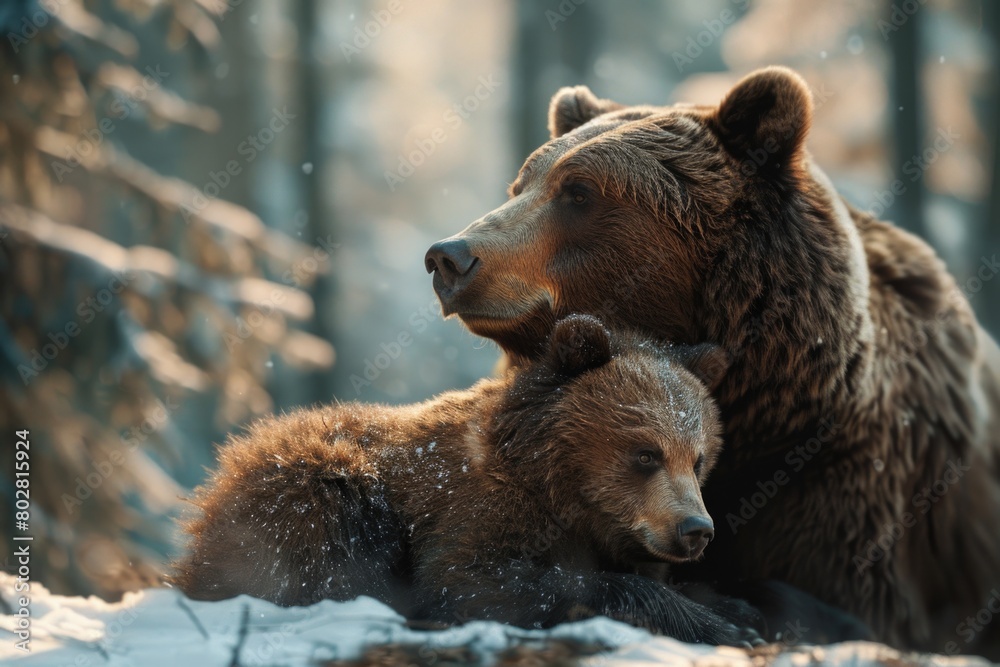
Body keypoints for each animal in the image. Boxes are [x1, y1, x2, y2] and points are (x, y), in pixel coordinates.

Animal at [175, 314, 768, 646]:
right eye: (646, 453)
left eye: (698, 458)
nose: (695, 530)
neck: (559, 487)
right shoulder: (477, 508)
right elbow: (472, 580)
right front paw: (716, 625)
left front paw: (736, 611)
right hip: (319, 485)